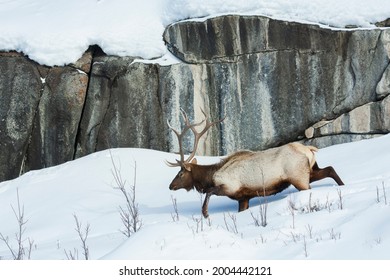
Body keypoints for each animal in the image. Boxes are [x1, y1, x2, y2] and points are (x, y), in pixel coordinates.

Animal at [168, 109, 344, 219]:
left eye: (181, 173)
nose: (171, 186)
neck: (210, 176)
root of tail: (308, 149)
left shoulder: (229, 186)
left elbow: (209, 192)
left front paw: (205, 213)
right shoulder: (243, 198)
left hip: (299, 178)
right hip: (310, 172)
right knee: (330, 169)